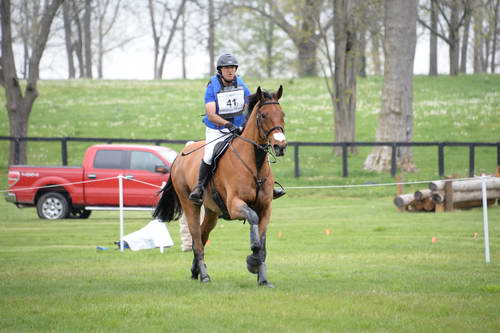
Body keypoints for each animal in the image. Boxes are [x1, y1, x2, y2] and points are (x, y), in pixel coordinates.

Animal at [152, 85, 288, 286]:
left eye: (282, 114)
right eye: (263, 115)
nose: (280, 146)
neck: (254, 163)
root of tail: (179, 156)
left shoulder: (265, 208)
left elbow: (262, 242)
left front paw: (262, 277)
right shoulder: (235, 205)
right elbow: (254, 223)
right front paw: (252, 261)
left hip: (212, 212)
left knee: (202, 236)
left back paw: (195, 271)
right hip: (190, 204)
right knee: (197, 240)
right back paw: (204, 276)